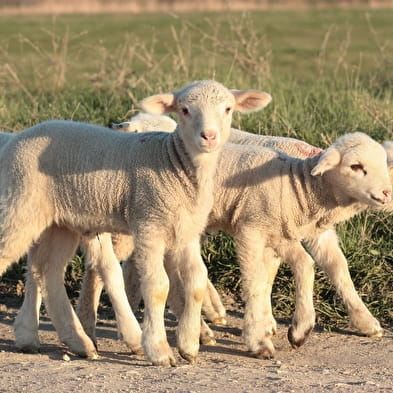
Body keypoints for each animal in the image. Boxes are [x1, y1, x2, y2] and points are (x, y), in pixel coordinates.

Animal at [0, 79, 270, 364]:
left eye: (228, 109)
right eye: (185, 110)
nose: (209, 136)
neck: (174, 162)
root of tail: (16, 139)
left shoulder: (186, 232)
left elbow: (196, 282)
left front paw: (189, 345)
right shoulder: (149, 224)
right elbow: (158, 286)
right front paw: (159, 350)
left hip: (60, 223)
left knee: (48, 271)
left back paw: (79, 342)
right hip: (21, 204)